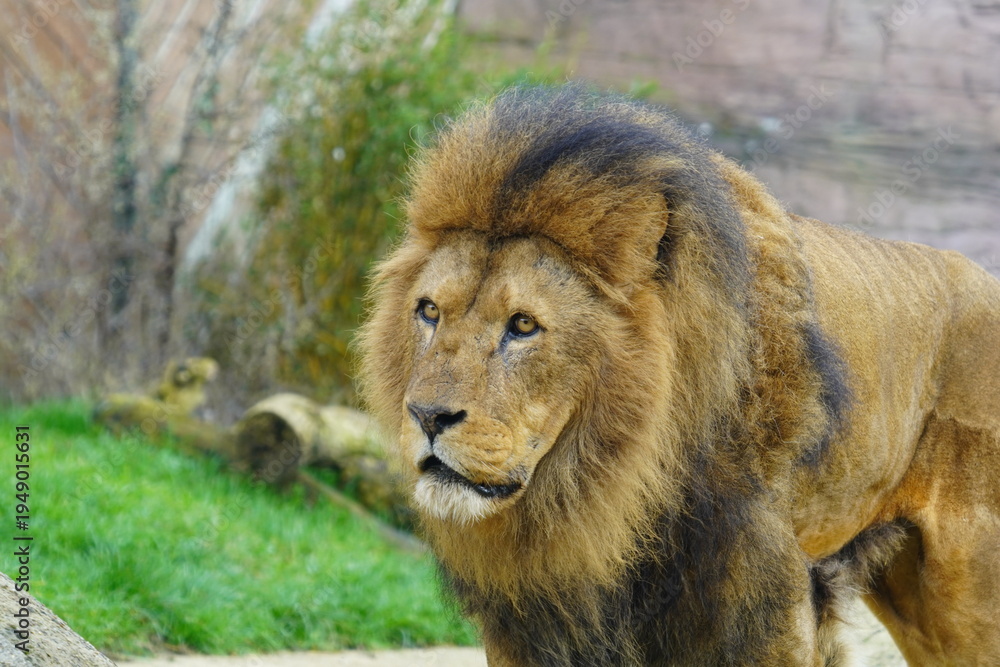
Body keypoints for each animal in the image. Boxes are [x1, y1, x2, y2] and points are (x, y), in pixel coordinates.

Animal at [358, 85, 1000, 665]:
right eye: (429, 312)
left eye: (522, 325)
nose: (427, 417)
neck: (608, 492)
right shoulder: (531, 621)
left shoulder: (766, 604)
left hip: (969, 596)